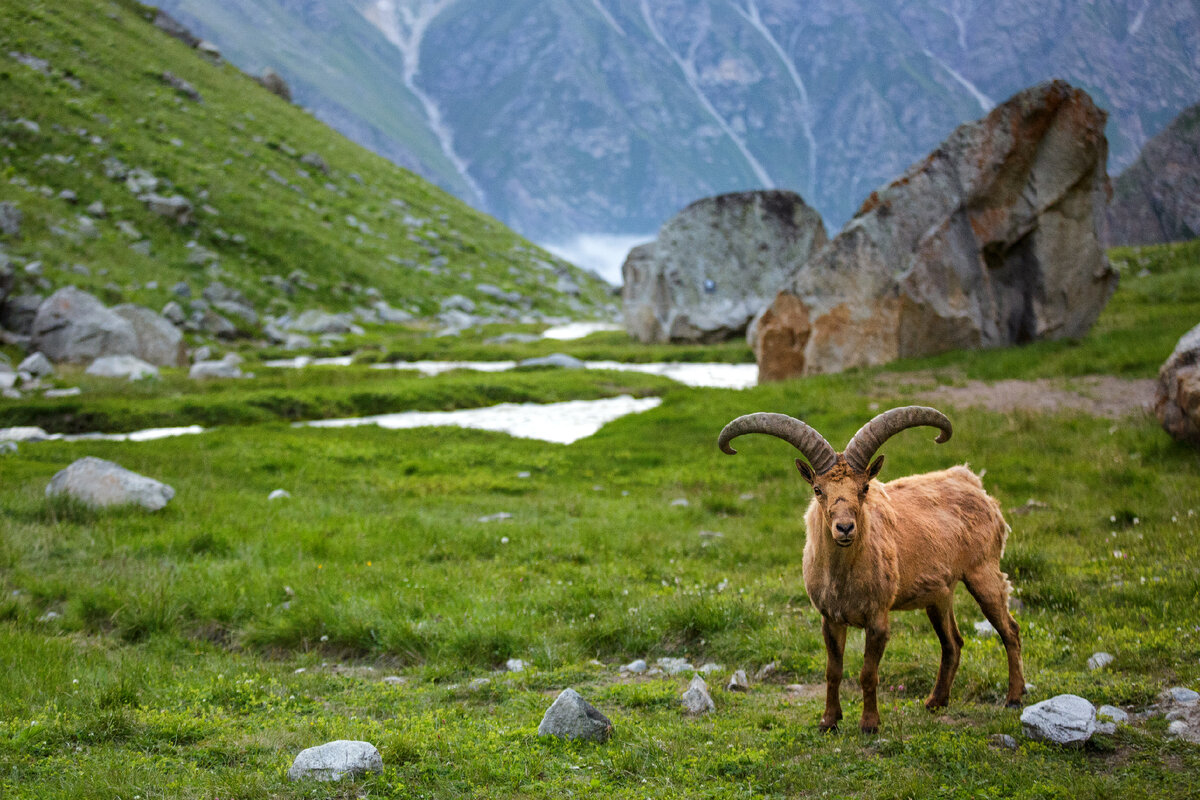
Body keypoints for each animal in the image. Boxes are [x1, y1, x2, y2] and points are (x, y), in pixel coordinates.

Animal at [715, 407, 1027, 734]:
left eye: (864, 487)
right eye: (818, 489)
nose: (844, 528)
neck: (844, 579)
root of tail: (973, 483)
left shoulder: (878, 618)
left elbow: (868, 673)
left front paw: (869, 724)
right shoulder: (830, 618)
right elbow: (833, 671)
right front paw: (828, 721)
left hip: (983, 572)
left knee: (1010, 630)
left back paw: (1014, 698)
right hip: (939, 595)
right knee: (953, 642)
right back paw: (935, 702)